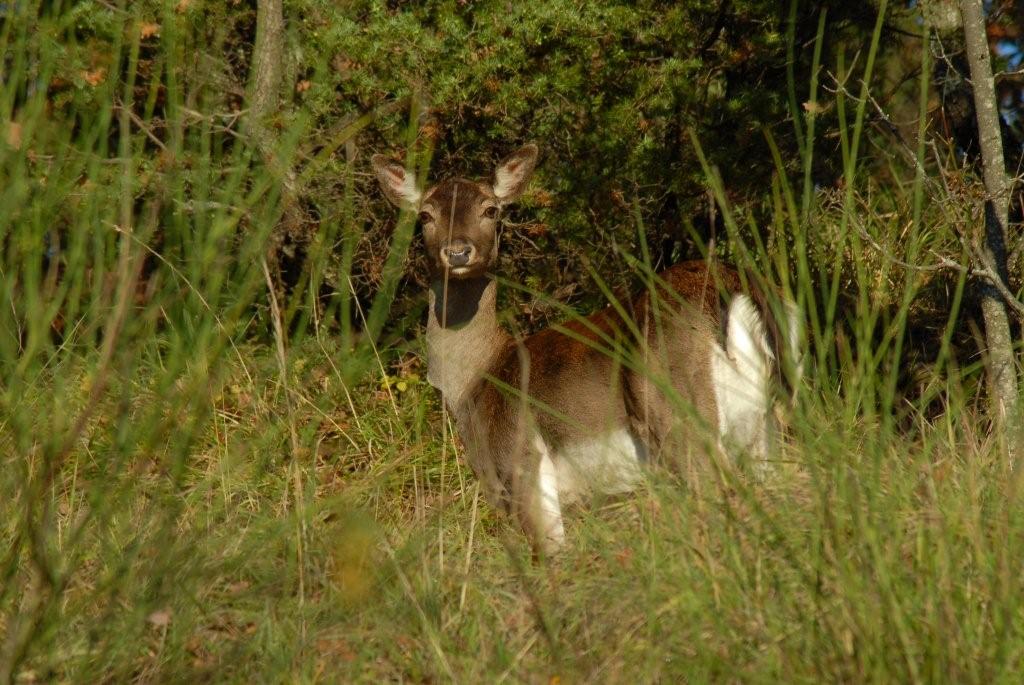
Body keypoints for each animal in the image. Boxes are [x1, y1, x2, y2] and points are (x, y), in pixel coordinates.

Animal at [372, 144, 802, 557]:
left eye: (491, 209)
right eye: (425, 215)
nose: (458, 252)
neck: (474, 384)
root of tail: (730, 291)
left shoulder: (519, 464)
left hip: (680, 417)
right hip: (768, 426)